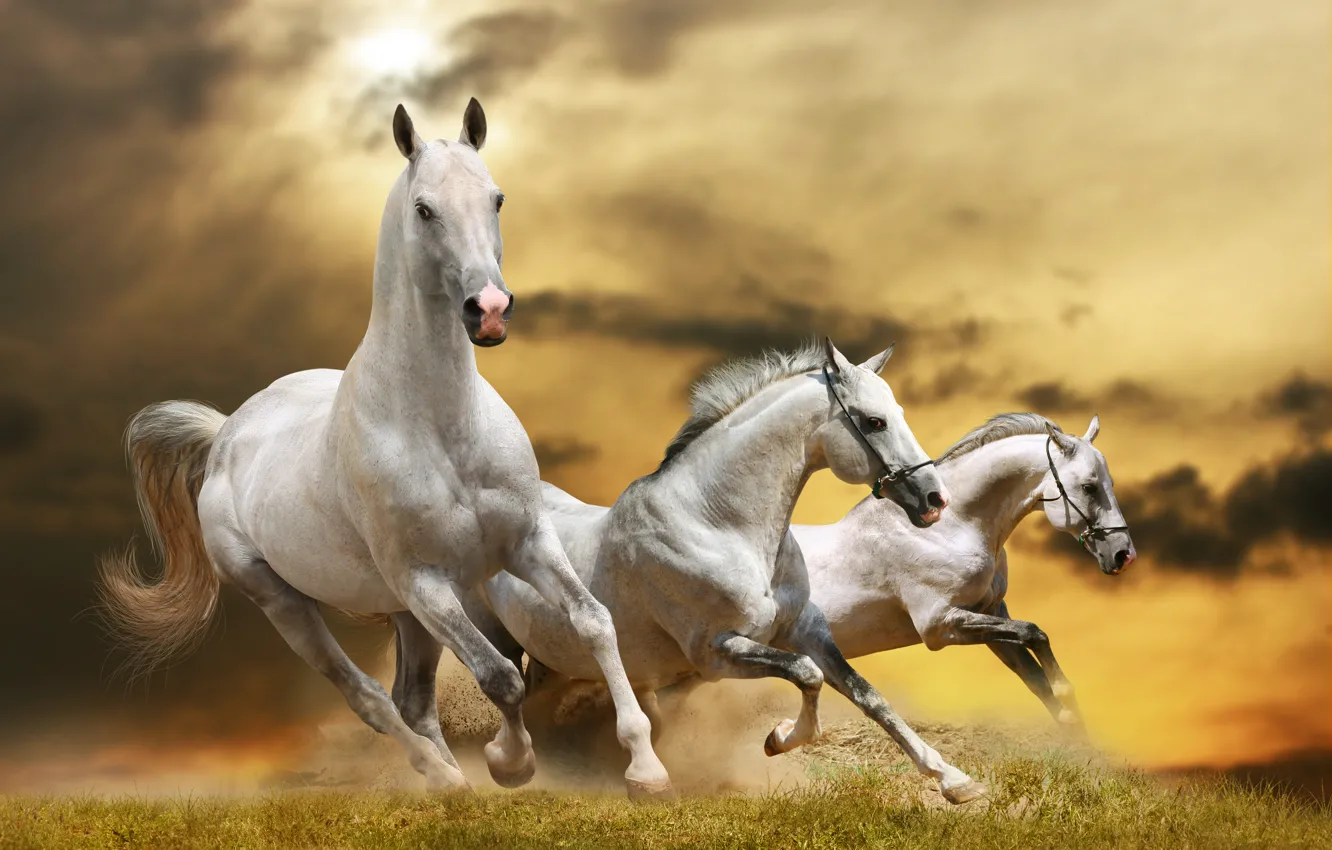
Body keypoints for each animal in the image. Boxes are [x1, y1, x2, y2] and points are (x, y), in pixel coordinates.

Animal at [97, 100, 672, 798]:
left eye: (497, 198)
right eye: (424, 208)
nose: (489, 310)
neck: (444, 433)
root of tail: (228, 432)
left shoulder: (525, 544)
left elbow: (593, 621)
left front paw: (645, 767)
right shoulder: (426, 581)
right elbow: (501, 675)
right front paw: (510, 764)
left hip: (405, 615)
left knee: (411, 701)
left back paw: (451, 778)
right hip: (289, 602)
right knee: (368, 697)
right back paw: (444, 777)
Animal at [453, 340, 987, 803]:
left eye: (899, 413)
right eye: (874, 422)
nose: (935, 500)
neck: (719, 524)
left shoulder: (805, 629)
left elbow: (867, 696)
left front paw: (956, 781)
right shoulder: (716, 652)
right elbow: (807, 674)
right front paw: (779, 738)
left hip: (554, 661)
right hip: (493, 636)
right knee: (496, 688)